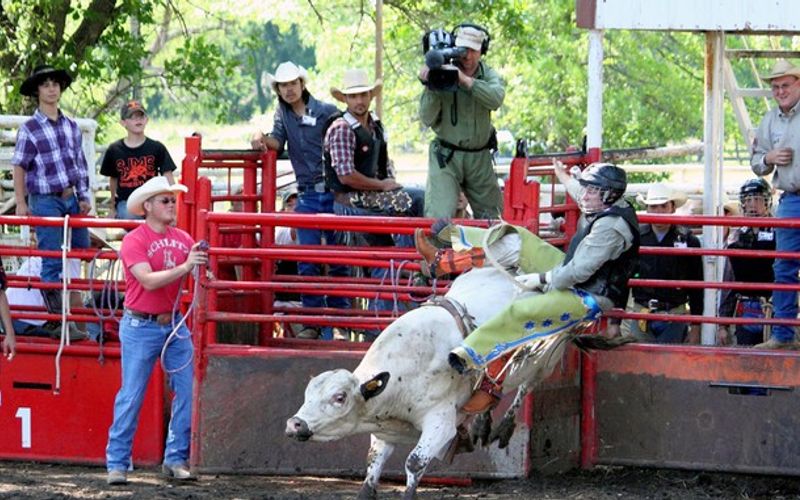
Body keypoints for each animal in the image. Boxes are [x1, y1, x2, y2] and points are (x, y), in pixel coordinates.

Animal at [284, 266, 628, 496]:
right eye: (307, 394)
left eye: (339, 397)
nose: (294, 424)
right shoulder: (384, 432)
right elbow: (371, 473)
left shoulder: (439, 423)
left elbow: (414, 464)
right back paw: (482, 422)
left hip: (545, 359)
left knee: (526, 387)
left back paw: (503, 426)